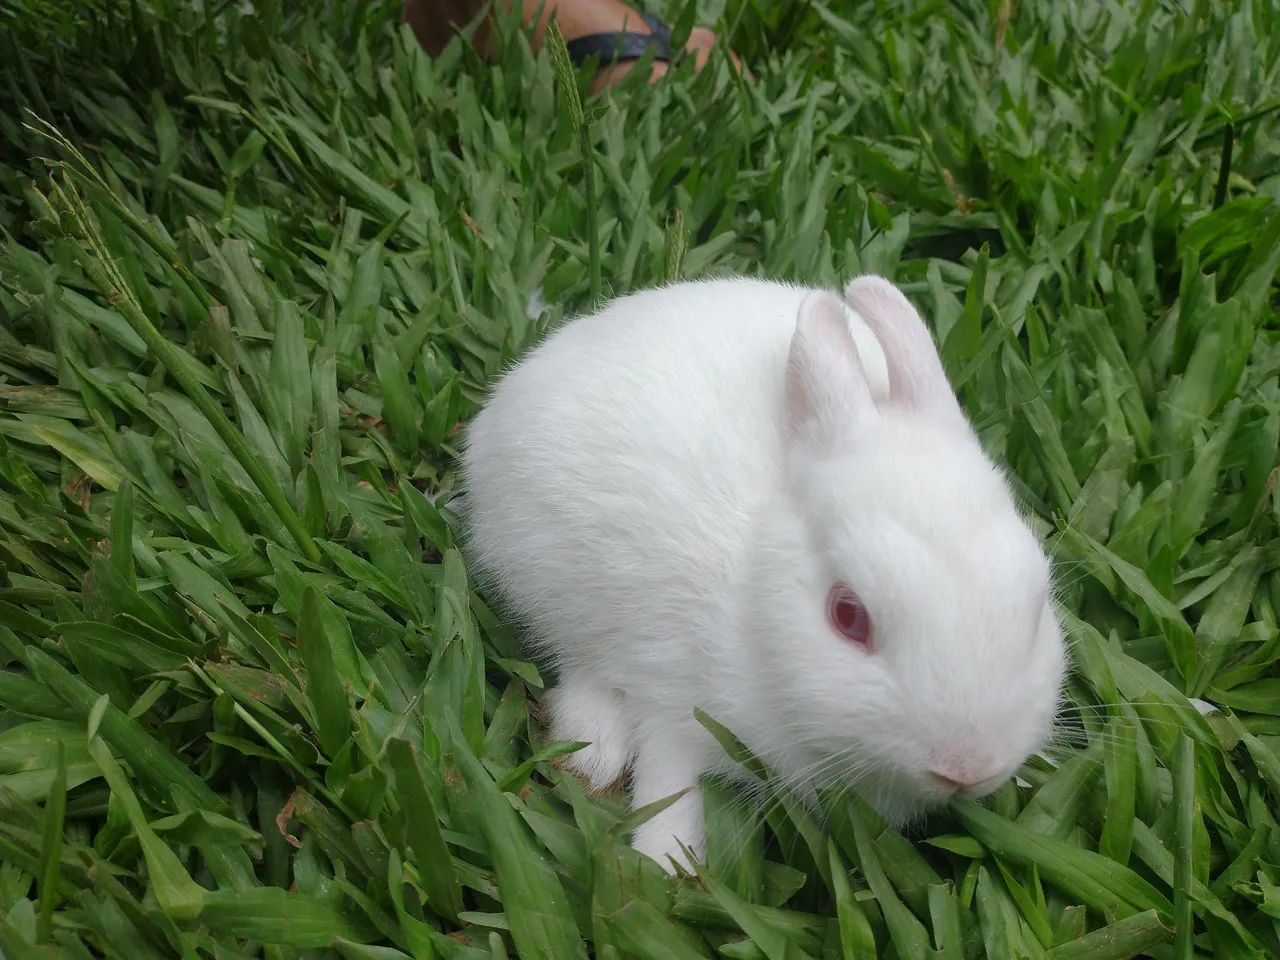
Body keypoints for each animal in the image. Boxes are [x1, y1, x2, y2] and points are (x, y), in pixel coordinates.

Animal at [459, 275, 1067, 872]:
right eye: (848, 616)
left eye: (1038, 610)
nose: (968, 766)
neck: (750, 604)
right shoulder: (676, 695)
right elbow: (669, 782)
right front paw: (668, 866)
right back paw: (593, 752)